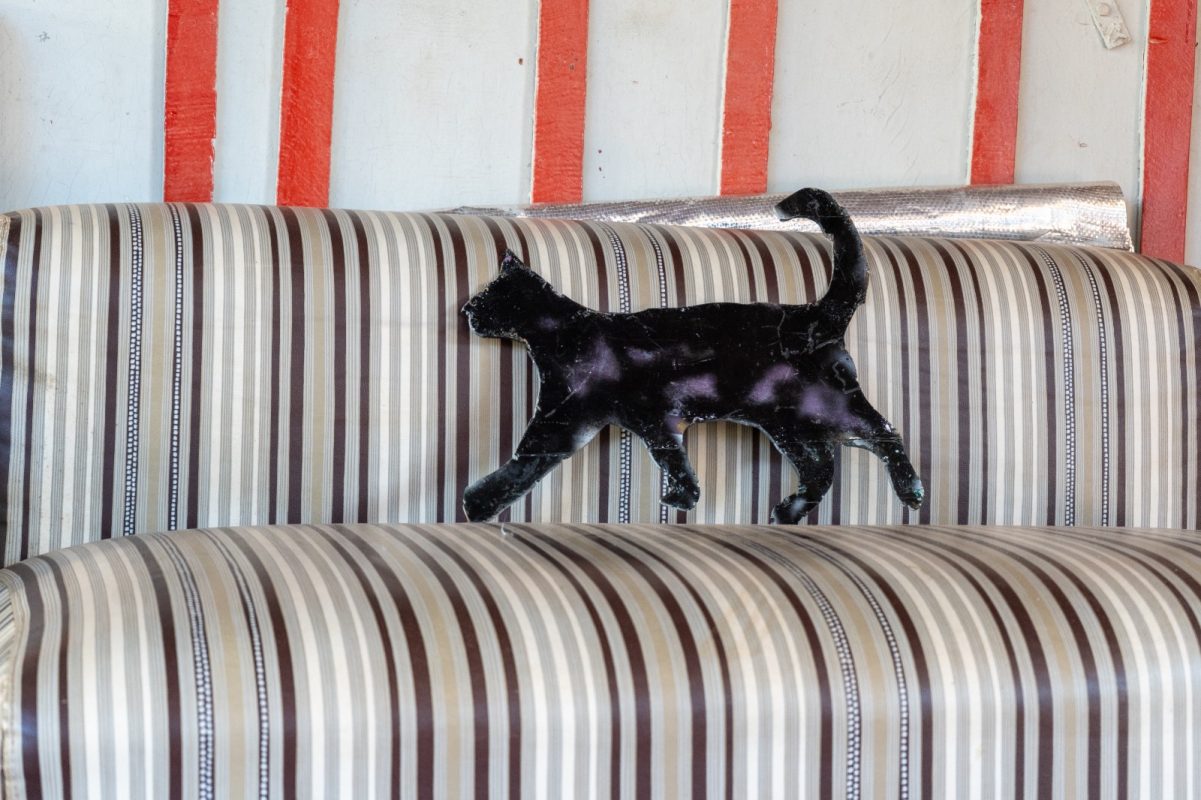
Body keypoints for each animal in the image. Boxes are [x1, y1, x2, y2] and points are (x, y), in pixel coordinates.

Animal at [461, 187, 925, 523]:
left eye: (485, 296)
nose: (465, 309)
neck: (563, 331)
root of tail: (816, 312)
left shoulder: (564, 419)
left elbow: (525, 459)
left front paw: (476, 503)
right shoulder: (653, 422)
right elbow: (675, 459)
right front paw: (686, 497)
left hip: (829, 408)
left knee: (884, 431)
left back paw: (911, 491)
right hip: (787, 424)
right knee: (822, 468)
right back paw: (786, 513)